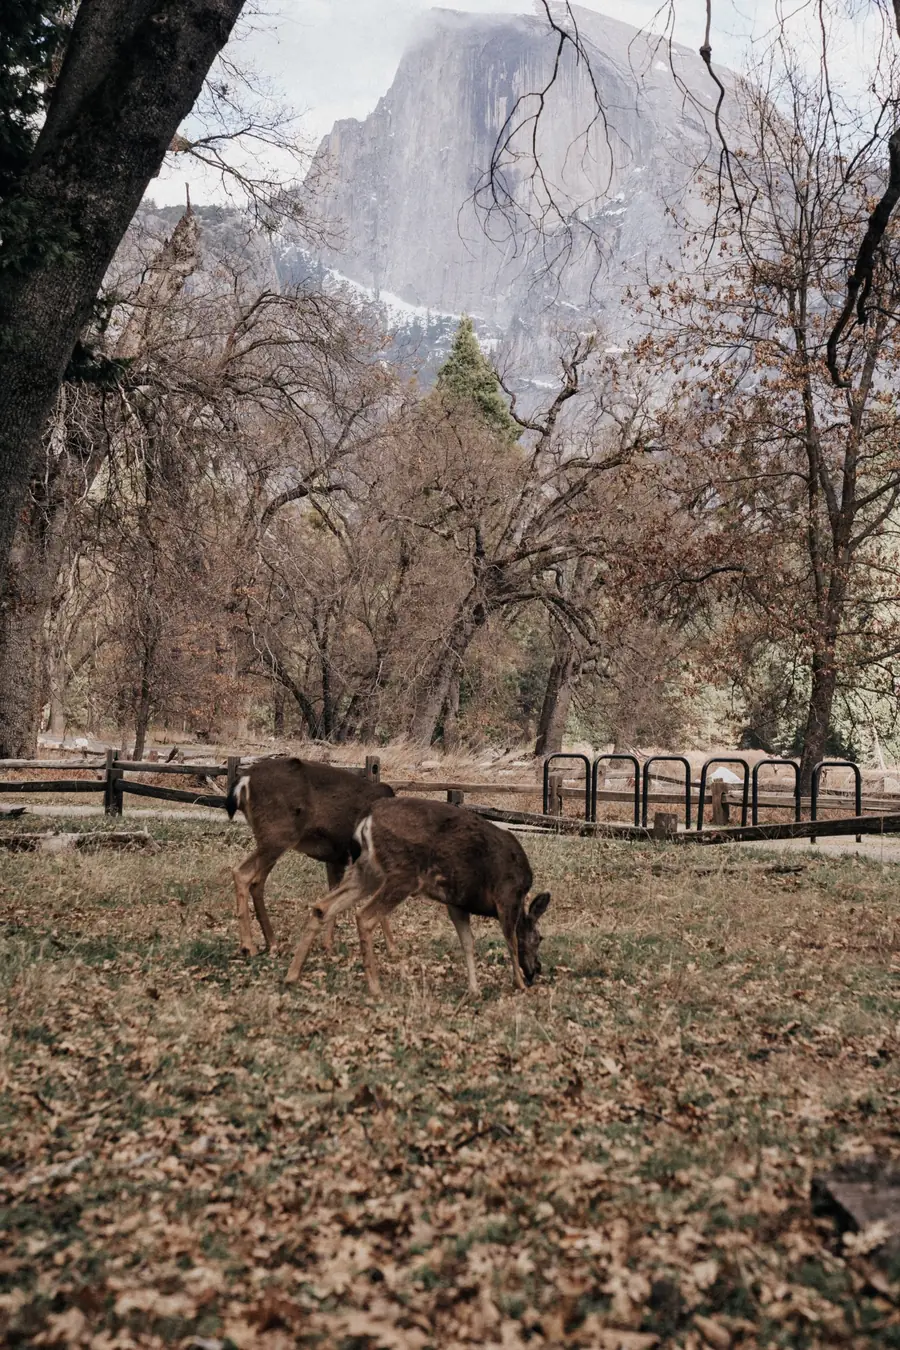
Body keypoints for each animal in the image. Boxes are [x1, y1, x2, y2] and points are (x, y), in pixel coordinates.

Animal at [226, 756, 396, 958]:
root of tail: (244, 781)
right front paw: (393, 948)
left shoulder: (336, 858)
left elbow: (333, 894)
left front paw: (328, 945)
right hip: (278, 835)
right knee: (242, 872)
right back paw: (248, 946)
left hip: (271, 839)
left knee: (257, 883)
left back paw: (272, 943)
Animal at [285, 796, 551, 995]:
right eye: (539, 938)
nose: (536, 970)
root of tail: (368, 818)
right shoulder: (507, 896)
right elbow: (511, 941)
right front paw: (518, 984)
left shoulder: (457, 902)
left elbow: (468, 942)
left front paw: (474, 990)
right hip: (403, 873)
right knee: (365, 916)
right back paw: (375, 987)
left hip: (368, 870)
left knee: (322, 907)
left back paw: (292, 975)